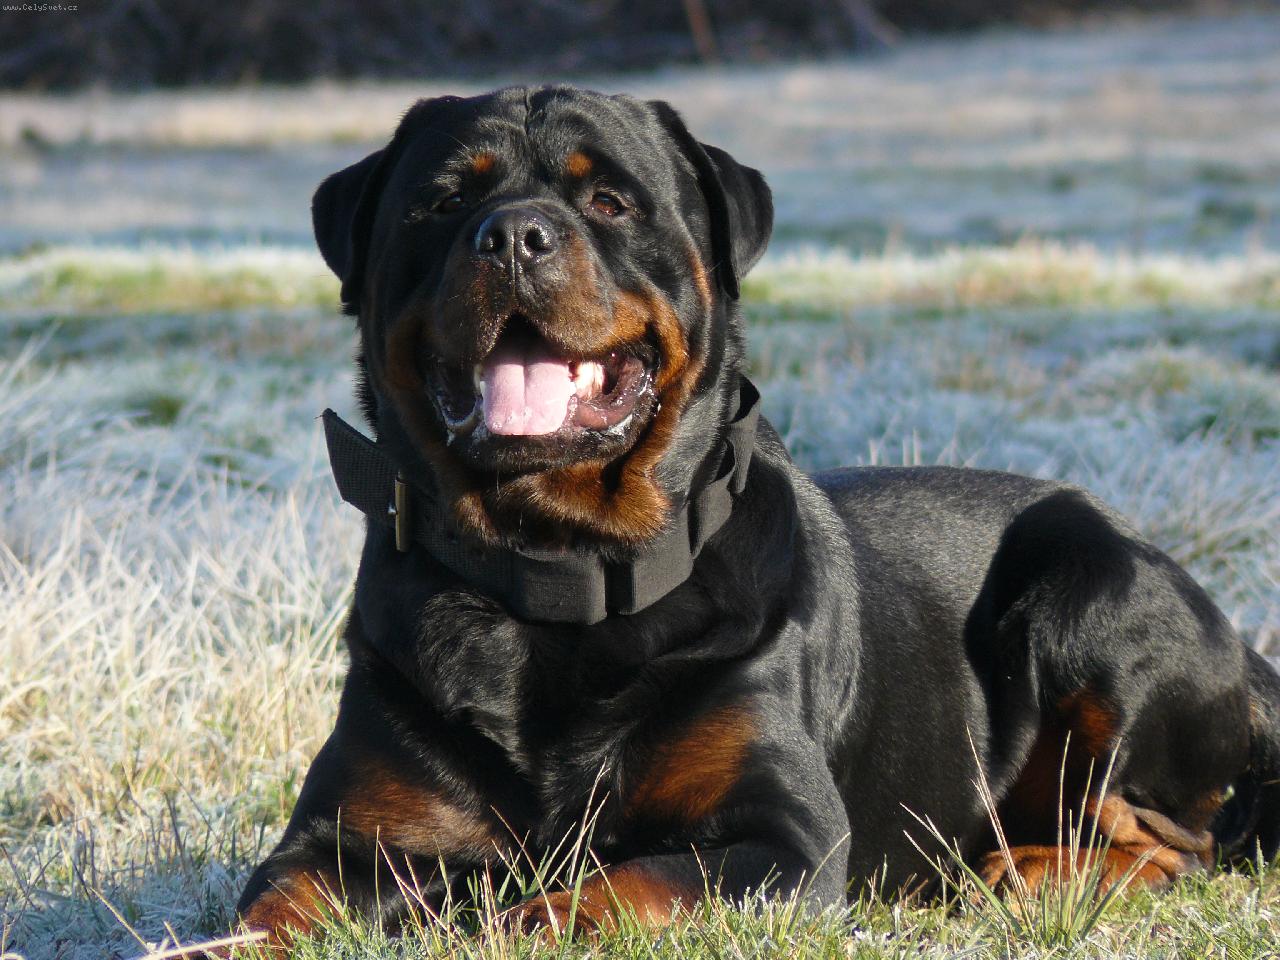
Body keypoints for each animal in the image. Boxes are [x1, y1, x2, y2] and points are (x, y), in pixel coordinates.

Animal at [233, 86, 1280, 947]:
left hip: (1087, 588)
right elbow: (270, 909)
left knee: (1177, 840)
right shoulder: (337, 841)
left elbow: (625, 885)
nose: (514, 236)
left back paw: (1028, 871)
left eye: (610, 202)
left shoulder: (788, 841)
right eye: (445, 202)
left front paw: (528, 917)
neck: (555, 574)